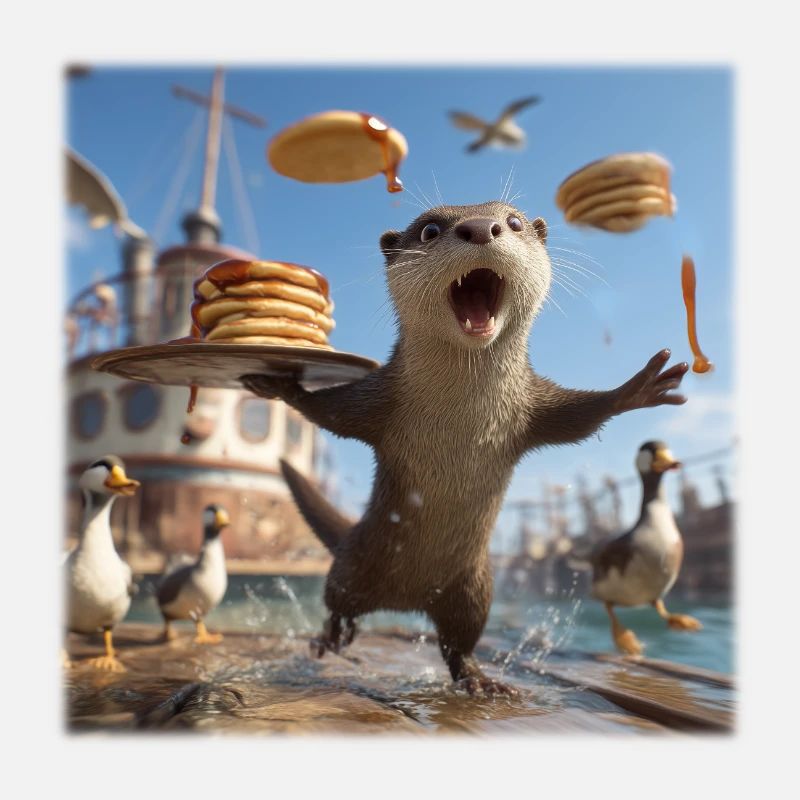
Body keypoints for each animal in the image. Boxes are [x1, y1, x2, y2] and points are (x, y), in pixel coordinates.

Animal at [242, 201, 688, 695]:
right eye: (430, 230)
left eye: (513, 222)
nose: (480, 227)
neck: (462, 411)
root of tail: (407, 598)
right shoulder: (379, 401)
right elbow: (332, 413)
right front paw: (283, 385)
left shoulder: (531, 408)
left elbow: (579, 417)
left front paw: (638, 389)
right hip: (354, 566)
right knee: (339, 605)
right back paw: (329, 638)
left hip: (474, 590)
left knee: (457, 643)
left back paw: (479, 680)